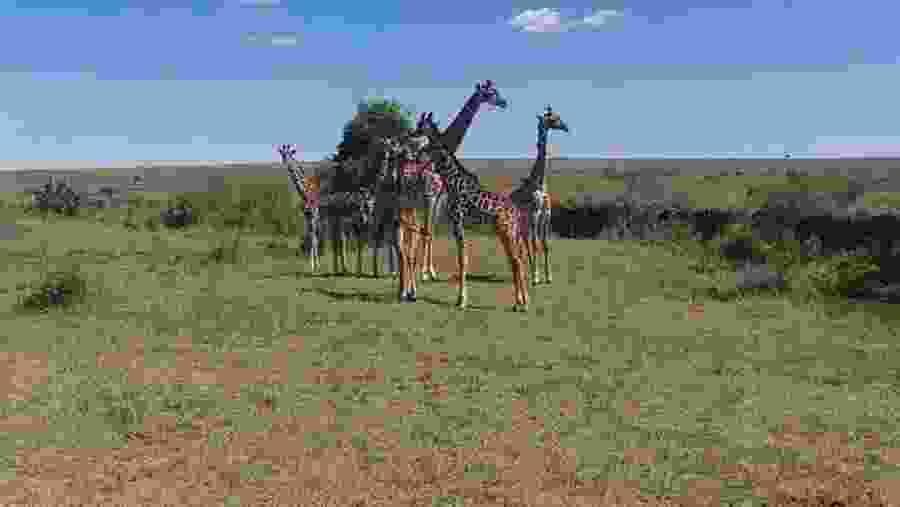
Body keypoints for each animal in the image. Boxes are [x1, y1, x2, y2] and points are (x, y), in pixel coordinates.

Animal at [410, 112, 530, 311]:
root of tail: (516, 212)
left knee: (516, 261)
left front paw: (461, 300)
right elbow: (463, 258)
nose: (410, 135)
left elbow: (462, 259)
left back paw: (523, 303)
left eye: (420, 127)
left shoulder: (458, 221)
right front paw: (461, 298)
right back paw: (519, 302)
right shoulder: (456, 223)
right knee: (515, 261)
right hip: (507, 232)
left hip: (506, 231)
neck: (452, 181)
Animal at [508, 106, 569, 285]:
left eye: (558, 117)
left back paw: (526, 269)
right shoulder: (535, 214)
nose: (566, 127)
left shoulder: (546, 215)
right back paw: (524, 271)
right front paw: (536, 276)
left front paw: (548, 276)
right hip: (519, 220)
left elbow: (545, 244)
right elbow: (536, 244)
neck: (540, 183)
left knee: (524, 241)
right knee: (520, 241)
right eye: (553, 119)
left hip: (525, 222)